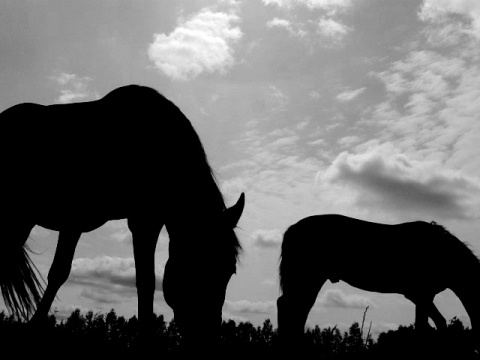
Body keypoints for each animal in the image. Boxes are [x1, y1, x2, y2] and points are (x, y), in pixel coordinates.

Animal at [0, 83, 246, 348]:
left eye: (230, 271)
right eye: (199, 263)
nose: (207, 338)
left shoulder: (148, 220)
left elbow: (145, 280)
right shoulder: (90, 220)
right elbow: (61, 272)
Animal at [278, 214, 480, 352]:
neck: (442, 252)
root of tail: (292, 229)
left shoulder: (423, 297)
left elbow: (427, 324)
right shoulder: (419, 294)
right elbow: (435, 323)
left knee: (296, 308)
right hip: (307, 278)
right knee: (292, 308)